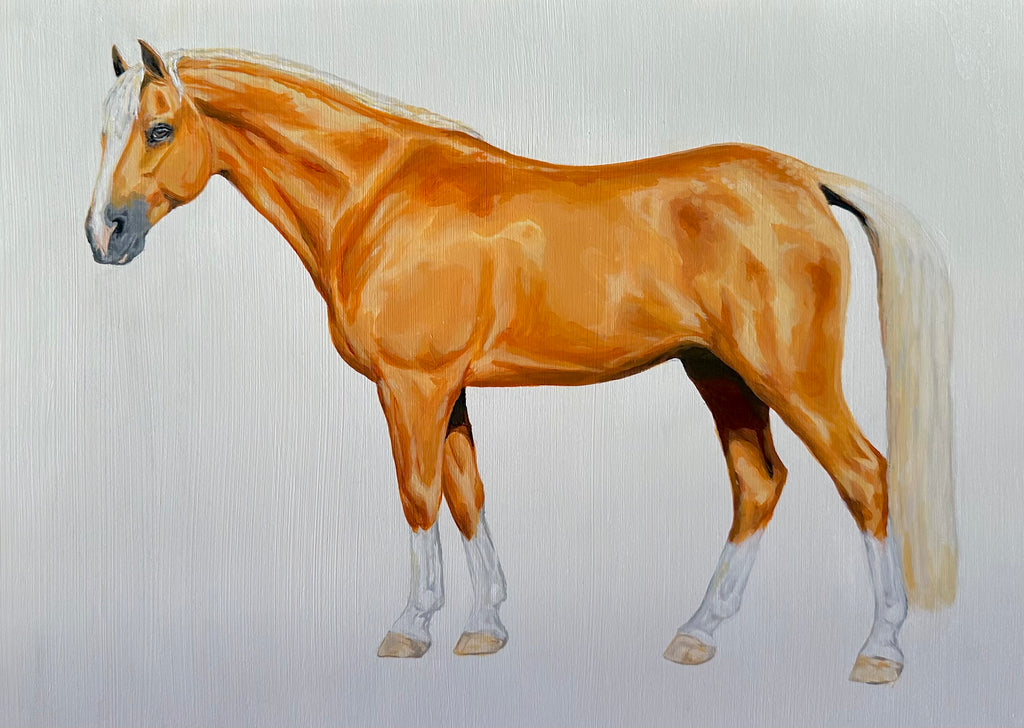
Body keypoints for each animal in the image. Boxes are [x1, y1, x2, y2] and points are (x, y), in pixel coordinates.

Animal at [86, 41, 956, 684]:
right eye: (102, 131)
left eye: (159, 130)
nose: (104, 234)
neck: (379, 196)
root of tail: (806, 180)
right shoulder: (450, 391)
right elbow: (467, 494)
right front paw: (484, 628)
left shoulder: (412, 386)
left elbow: (418, 497)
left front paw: (411, 628)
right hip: (719, 373)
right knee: (759, 484)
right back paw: (698, 634)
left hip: (790, 375)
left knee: (866, 476)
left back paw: (879, 652)